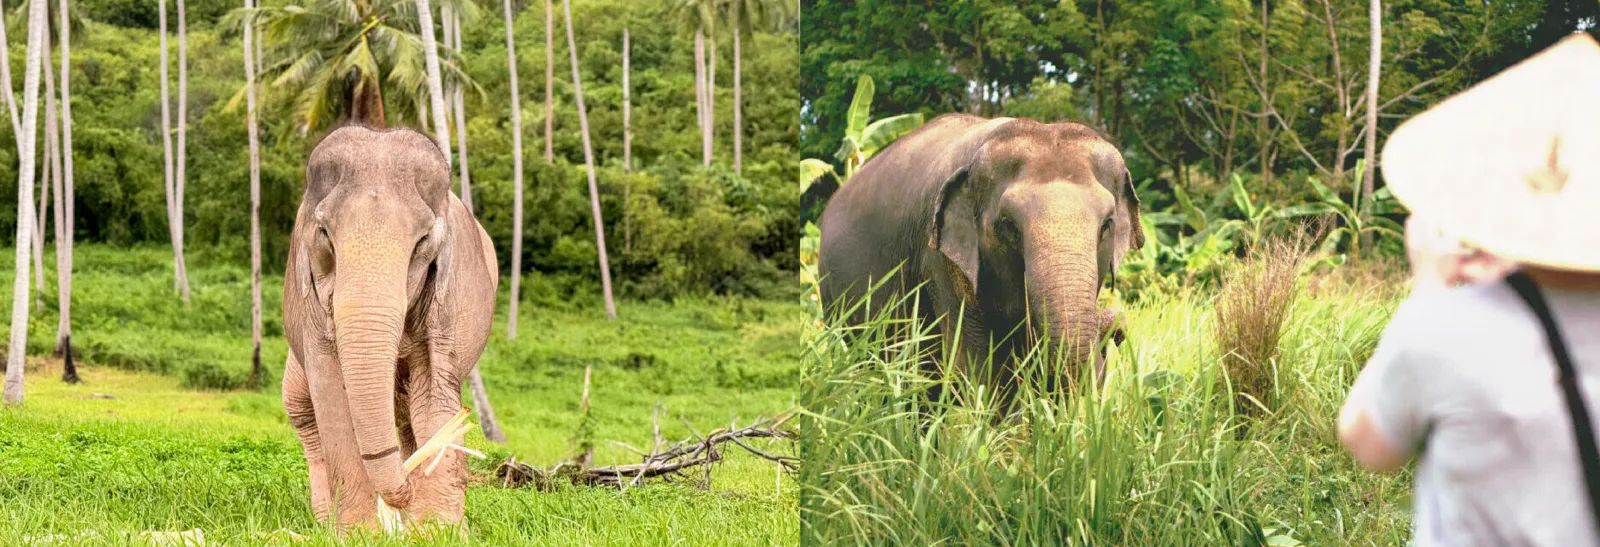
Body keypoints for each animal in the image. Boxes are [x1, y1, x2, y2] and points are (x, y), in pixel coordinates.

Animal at [280, 125, 498, 532]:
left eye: (423, 242)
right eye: (324, 233)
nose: (402, 494)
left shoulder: (447, 300)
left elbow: (434, 390)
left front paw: (436, 529)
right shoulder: (310, 309)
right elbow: (330, 393)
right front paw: (359, 532)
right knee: (300, 405)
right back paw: (324, 518)